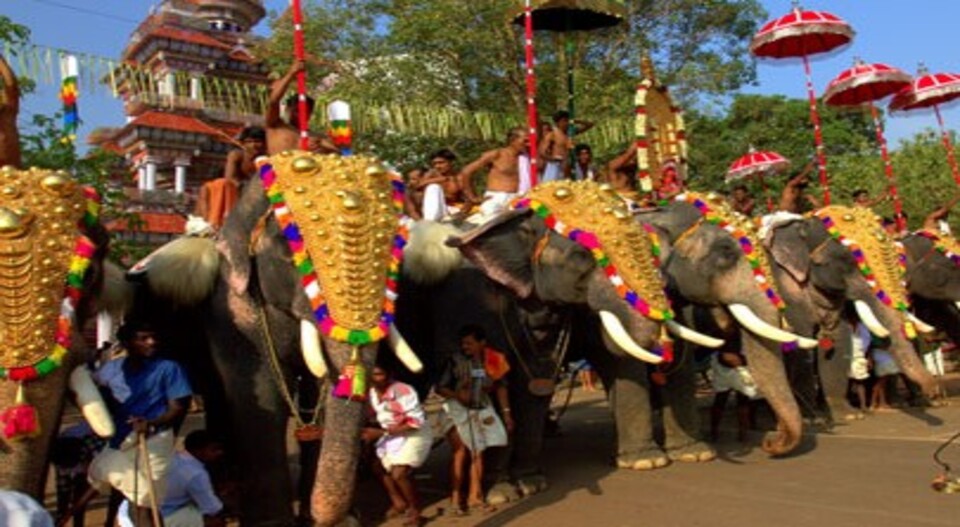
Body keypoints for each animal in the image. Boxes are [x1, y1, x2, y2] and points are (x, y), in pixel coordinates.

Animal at [131, 151, 424, 524]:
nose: (329, 516)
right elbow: (261, 396)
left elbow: (320, 392)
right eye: (292, 251)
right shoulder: (232, 309)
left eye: (395, 248)